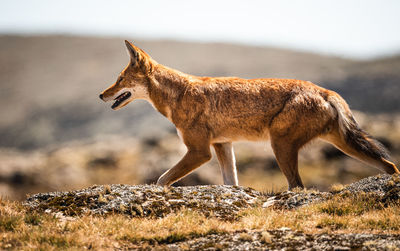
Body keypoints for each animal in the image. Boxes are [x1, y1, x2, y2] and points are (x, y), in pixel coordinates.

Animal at [98, 40, 398, 189]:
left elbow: (161, 180)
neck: (179, 94)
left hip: (281, 147)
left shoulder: (200, 152)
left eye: (119, 79)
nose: (101, 95)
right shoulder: (222, 146)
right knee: (390, 165)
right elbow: (231, 184)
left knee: (298, 186)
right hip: (342, 145)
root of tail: (325, 91)